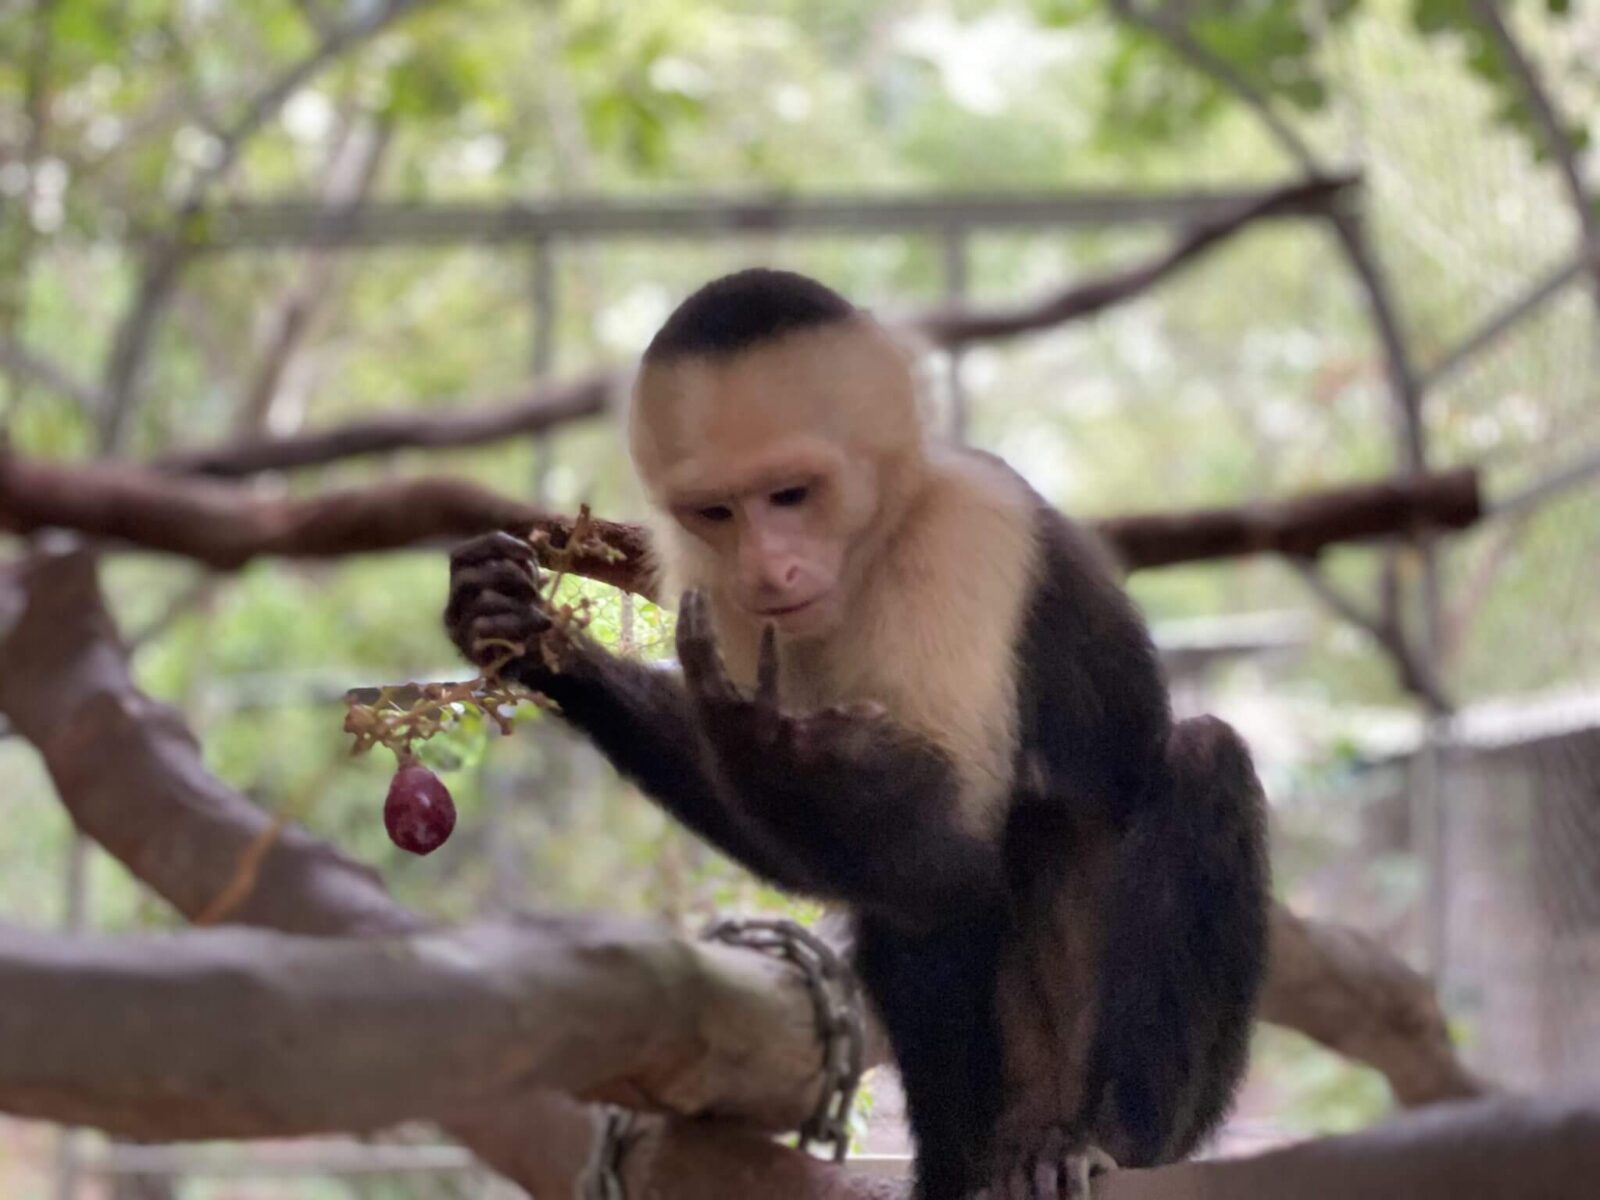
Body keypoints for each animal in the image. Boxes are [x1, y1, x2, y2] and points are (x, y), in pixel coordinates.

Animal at [444, 270, 1267, 1200]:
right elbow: (892, 865)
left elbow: (955, 843)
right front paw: (533, 637)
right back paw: (961, 1165)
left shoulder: (965, 531)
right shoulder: (710, 577)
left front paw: (756, 736)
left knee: (1191, 766)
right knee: (908, 904)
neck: (871, 546)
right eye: (718, 511)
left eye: (792, 495)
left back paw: (1100, 1138)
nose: (771, 568)